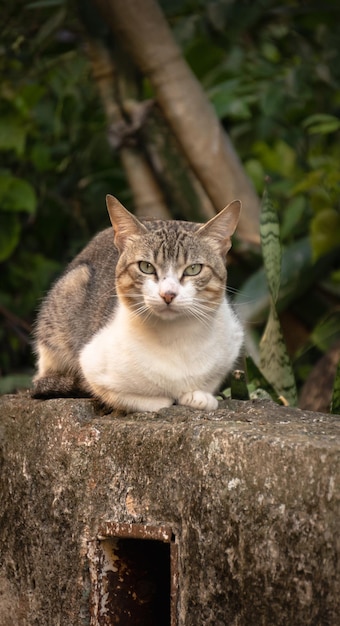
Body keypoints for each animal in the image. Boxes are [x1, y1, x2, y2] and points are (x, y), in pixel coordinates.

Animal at [31, 193, 243, 412]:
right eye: (146, 267)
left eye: (193, 269)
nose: (168, 294)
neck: (175, 337)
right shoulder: (92, 364)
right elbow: (139, 398)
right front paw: (163, 399)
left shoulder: (232, 341)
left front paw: (199, 396)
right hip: (71, 287)